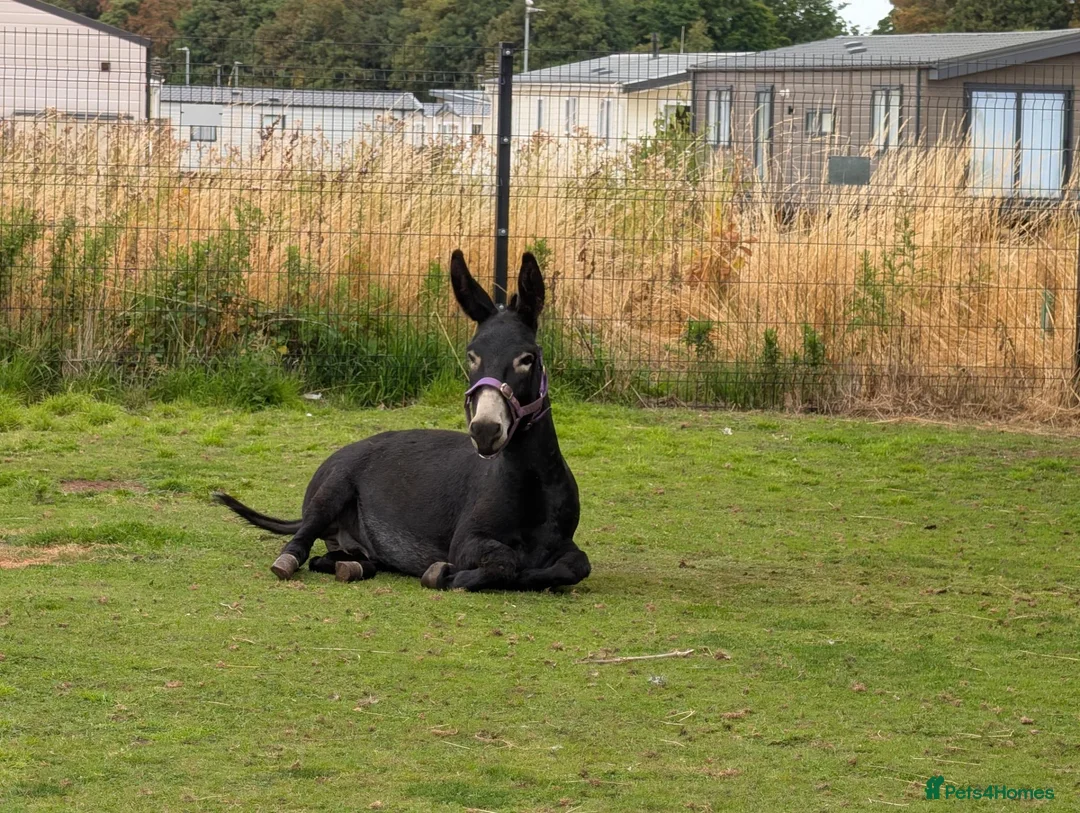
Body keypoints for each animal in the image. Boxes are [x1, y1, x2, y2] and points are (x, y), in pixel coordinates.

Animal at [213, 249, 591, 592]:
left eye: (527, 358)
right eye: (471, 356)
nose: (484, 430)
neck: (531, 485)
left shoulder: (563, 545)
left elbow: (575, 566)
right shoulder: (466, 540)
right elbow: (505, 562)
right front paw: (445, 574)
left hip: (356, 542)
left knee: (337, 559)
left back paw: (352, 567)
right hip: (333, 489)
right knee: (301, 545)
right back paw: (292, 561)